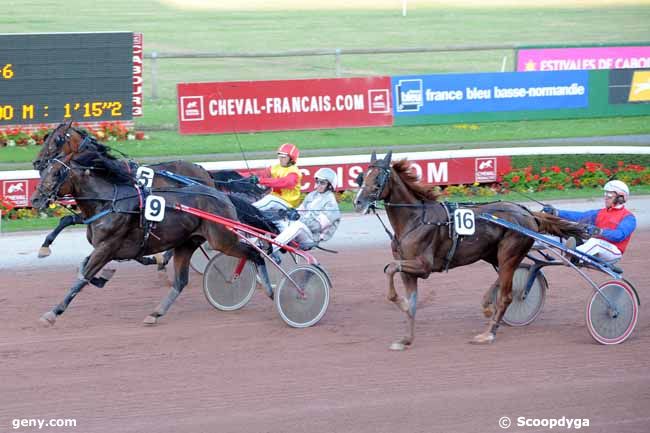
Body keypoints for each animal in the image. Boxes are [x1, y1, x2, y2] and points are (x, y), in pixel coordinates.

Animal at [30, 147, 274, 326]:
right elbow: (82, 268)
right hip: (187, 243)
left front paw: (53, 312)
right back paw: (156, 313)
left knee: (255, 254)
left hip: (222, 239)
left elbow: (81, 278)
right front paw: (102, 277)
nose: (35, 200)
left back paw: (271, 290)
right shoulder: (104, 248)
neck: (109, 202)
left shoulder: (107, 247)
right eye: (44, 172)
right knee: (181, 281)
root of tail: (222, 196)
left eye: (56, 173)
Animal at [352, 151, 584, 348]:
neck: (416, 220)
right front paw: (406, 339)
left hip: (508, 253)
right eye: (362, 177)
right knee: (505, 278)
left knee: (507, 295)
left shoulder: (423, 266)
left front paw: (400, 303)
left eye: (379, 178)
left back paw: (488, 333)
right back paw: (487, 305)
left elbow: (390, 268)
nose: (358, 202)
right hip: (493, 254)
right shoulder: (408, 269)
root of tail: (528, 213)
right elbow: (409, 298)